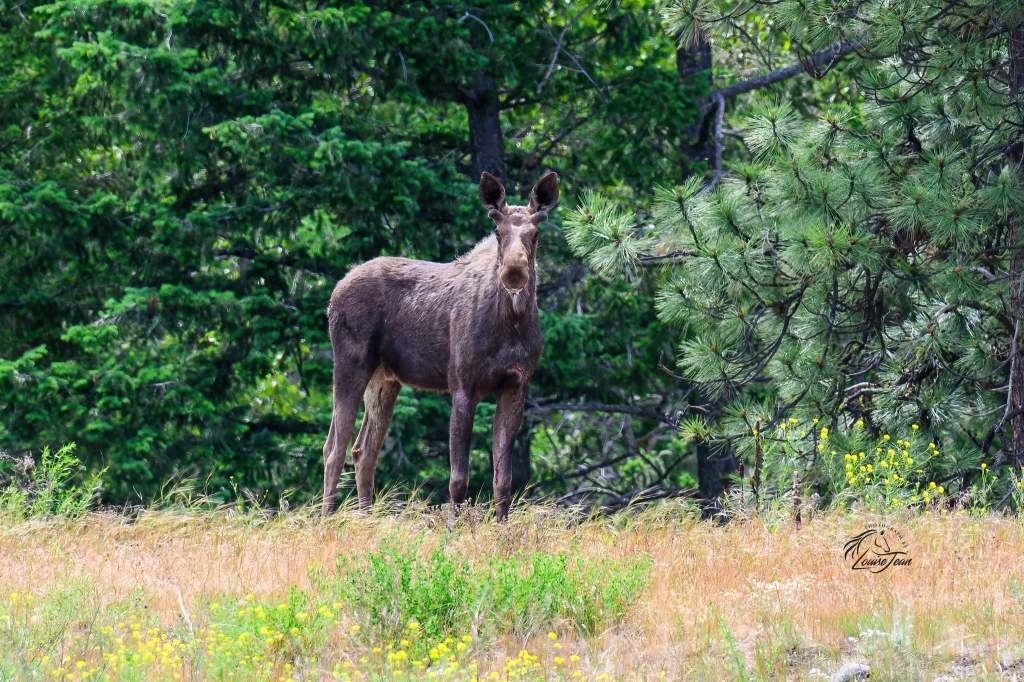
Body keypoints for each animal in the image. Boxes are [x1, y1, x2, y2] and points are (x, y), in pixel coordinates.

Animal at [321, 171, 559, 521]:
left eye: (536, 230)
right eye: (497, 228)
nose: (514, 271)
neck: (510, 322)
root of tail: (334, 293)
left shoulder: (516, 385)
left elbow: (503, 478)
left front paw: (502, 528)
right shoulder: (462, 385)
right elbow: (458, 478)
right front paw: (453, 528)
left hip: (385, 378)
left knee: (364, 449)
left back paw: (367, 519)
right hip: (351, 362)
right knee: (334, 447)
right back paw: (326, 520)